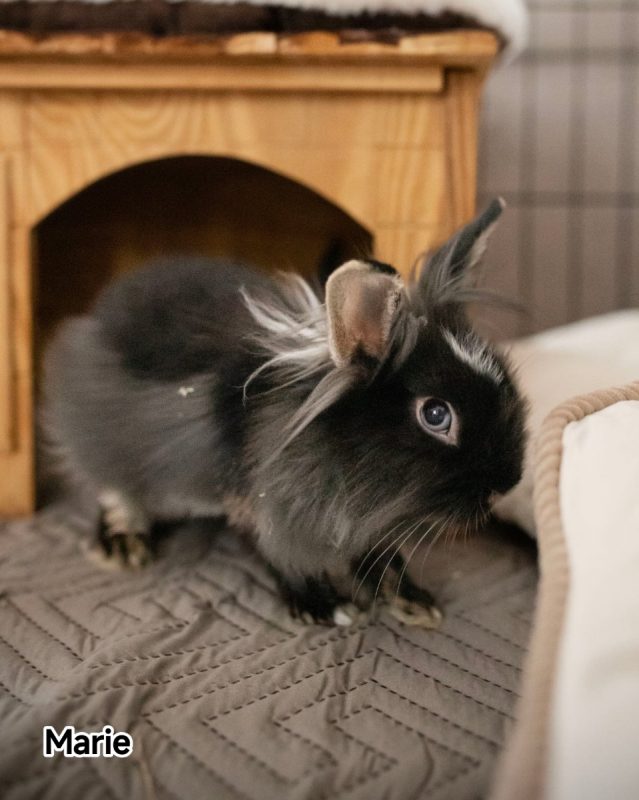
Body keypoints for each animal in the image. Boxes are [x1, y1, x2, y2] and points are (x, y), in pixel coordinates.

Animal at [42, 198, 526, 627]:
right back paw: (122, 547)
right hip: (109, 440)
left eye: (506, 381)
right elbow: (283, 556)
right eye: (436, 415)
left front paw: (414, 601)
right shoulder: (271, 508)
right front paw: (326, 606)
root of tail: (99, 313)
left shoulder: (361, 519)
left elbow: (381, 556)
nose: (506, 484)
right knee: (114, 489)